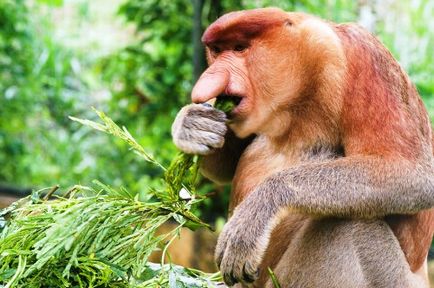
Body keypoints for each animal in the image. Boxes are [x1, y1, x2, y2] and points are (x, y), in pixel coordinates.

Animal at [171, 7, 434, 286]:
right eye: (218, 51)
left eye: (240, 48)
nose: (208, 80)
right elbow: (225, 167)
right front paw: (192, 123)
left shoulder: (364, 58)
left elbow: (414, 173)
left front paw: (256, 213)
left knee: (349, 224)